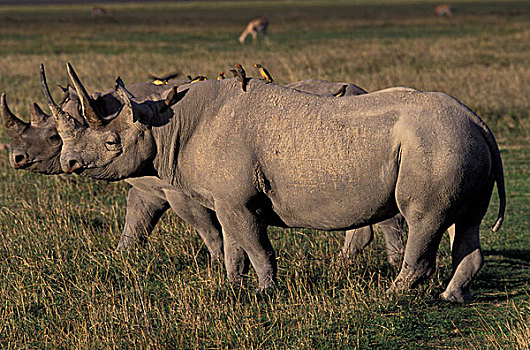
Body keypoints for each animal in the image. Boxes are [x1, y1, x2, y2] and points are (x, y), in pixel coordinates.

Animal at [42, 62, 504, 300]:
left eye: (112, 142)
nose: (70, 163)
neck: (166, 123)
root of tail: (478, 122)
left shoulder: (239, 200)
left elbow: (257, 246)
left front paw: (266, 293)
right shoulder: (224, 199)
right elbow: (233, 246)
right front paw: (231, 288)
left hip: (437, 145)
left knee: (423, 218)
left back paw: (393, 296)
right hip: (457, 142)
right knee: (467, 224)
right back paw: (450, 297)